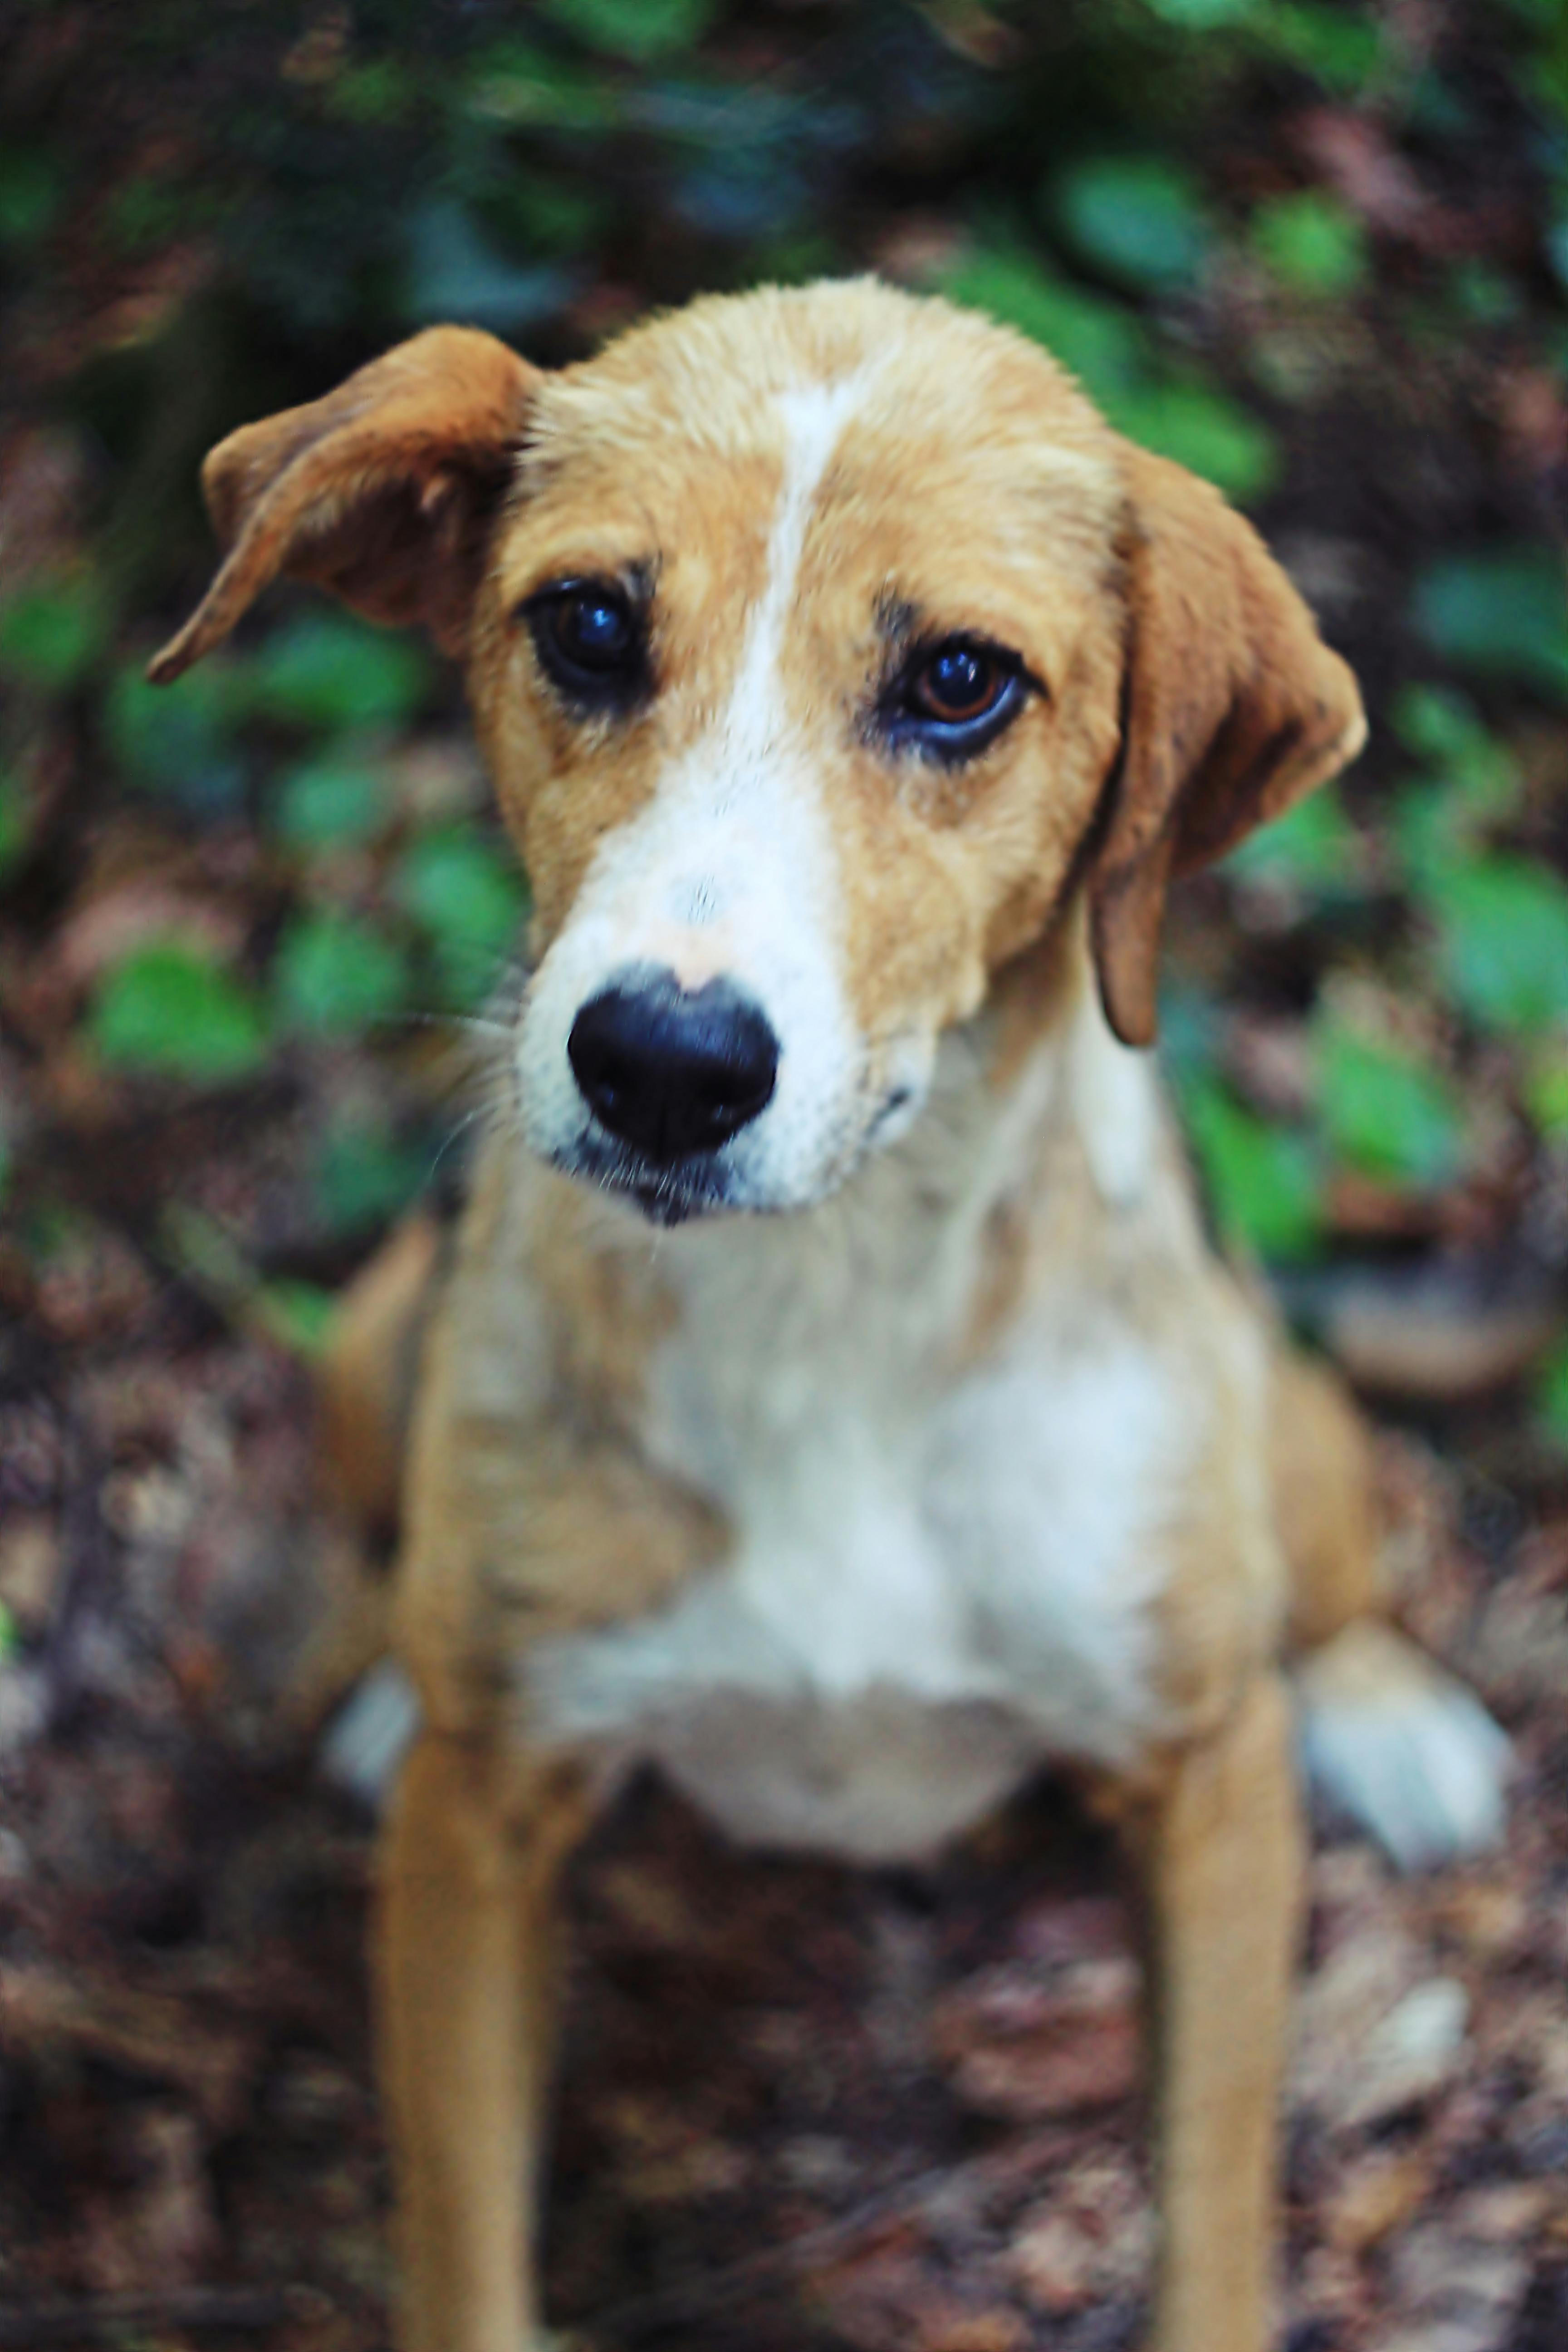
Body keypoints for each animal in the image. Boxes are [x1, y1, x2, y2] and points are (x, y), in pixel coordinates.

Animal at [152, 284, 1514, 2352]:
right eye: (589, 625)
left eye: (960, 680)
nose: (661, 1064)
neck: (827, 1302)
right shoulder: (476, 1855)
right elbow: (467, 2252)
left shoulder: (1209, 1792)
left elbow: (1211, 2224)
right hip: (370, 1345)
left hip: (1287, 1426)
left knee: (1330, 1593)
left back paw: (1391, 1711)